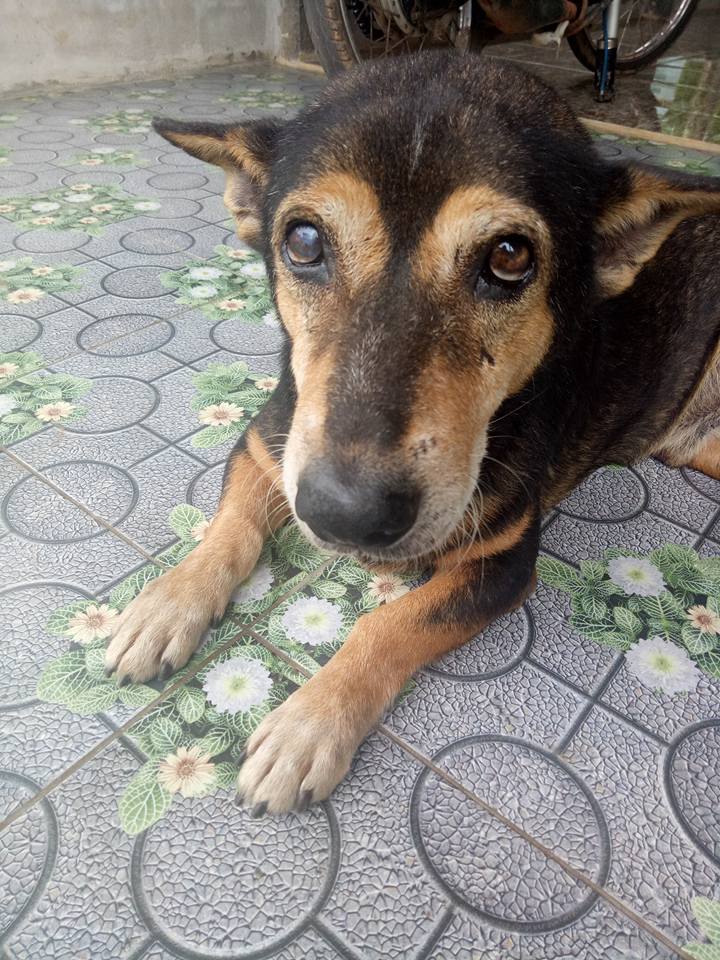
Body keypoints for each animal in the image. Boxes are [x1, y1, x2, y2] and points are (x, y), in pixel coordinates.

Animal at [105, 51, 720, 815]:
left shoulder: (504, 559)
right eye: (303, 240)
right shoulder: (266, 443)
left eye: (510, 256)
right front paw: (164, 606)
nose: (346, 515)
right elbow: (229, 531)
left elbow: (390, 623)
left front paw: (310, 724)